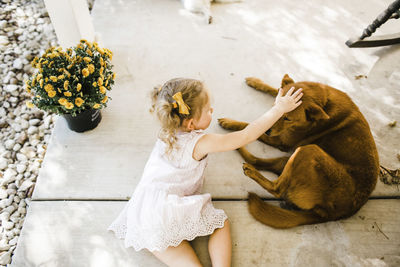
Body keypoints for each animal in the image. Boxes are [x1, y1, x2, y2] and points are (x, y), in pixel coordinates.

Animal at [219, 74, 378, 229]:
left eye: (288, 119)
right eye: (275, 107)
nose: (269, 130)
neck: (324, 104)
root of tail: (330, 215)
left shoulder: (280, 140)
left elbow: (250, 126)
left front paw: (232, 123)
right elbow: (276, 89)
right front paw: (256, 82)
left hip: (308, 150)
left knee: (277, 189)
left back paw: (250, 168)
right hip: (292, 159)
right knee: (257, 161)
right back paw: (239, 148)